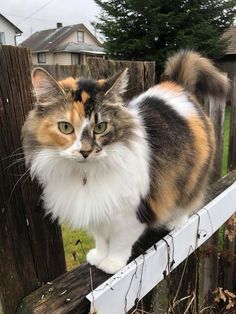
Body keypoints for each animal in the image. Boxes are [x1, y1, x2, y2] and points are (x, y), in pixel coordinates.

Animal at [22, 50, 229, 274]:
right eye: (66, 127)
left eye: (100, 127)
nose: (85, 151)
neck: (86, 174)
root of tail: (176, 86)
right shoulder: (96, 209)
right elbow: (101, 239)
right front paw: (98, 257)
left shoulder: (132, 213)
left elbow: (120, 243)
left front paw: (112, 264)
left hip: (191, 178)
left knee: (187, 201)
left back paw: (176, 222)